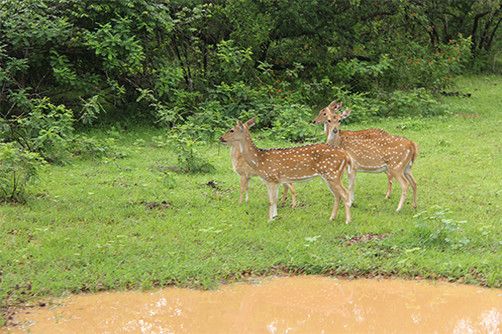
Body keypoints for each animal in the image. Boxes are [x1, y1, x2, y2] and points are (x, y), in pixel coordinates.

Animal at [220, 118, 352, 223]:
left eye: (231, 130)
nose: (221, 138)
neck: (259, 161)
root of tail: (346, 155)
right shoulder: (272, 181)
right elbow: (273, 200)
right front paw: (274, 217)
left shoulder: (272, 177)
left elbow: (272, 200)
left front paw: (270, 220)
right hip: (330, 175)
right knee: (337, 195)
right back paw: (332, 218)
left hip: (332, 173)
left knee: (345, 193)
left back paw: (347, 220)